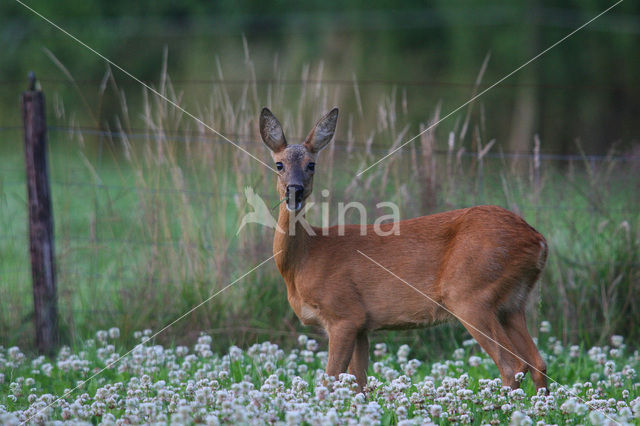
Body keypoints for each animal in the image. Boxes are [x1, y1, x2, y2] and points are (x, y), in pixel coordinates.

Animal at [258, 107, 548, 392]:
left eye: (311, 164)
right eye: (279, 164)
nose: (294, 191)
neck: (305, 258)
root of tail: (539, 240)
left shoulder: (344, 313)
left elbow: (330, 381)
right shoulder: (362, 325)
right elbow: (358, 384)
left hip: (471, 293)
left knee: (513, 365)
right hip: (513, 303)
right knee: (538, 363)